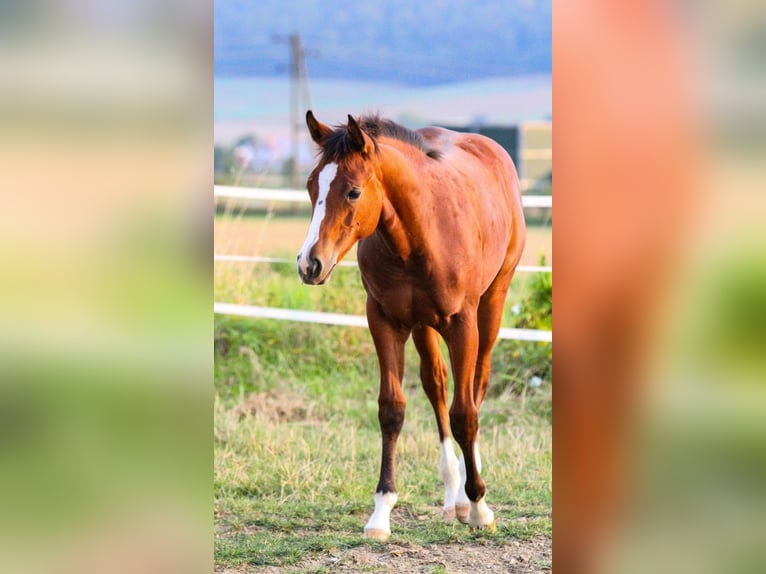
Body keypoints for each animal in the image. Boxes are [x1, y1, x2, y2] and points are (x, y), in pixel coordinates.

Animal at [296, 110, 524, 544]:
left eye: (352, 192)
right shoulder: (384, 320)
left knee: (477, 383)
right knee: (437, 385)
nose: (309, 264)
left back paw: (469, 491)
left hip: (493, 302)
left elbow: (465, 414)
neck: (422, 233)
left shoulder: (462, 323)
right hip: (424, 326)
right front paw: (381, 512)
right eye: (311, 185)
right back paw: (453, 495)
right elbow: (392, 409)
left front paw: (480, 508)